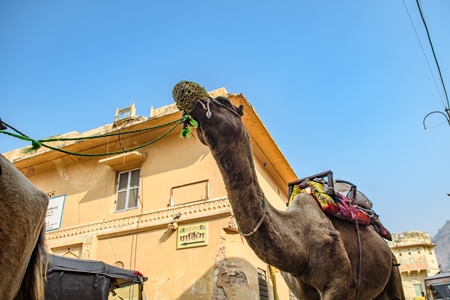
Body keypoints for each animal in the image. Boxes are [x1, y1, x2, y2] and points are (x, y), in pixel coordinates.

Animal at [172, 81, 404, 298]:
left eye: (223, 101)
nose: (185, 90)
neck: (299, 246)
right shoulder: (303, 291)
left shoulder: (337, 283)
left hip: (393, 271)